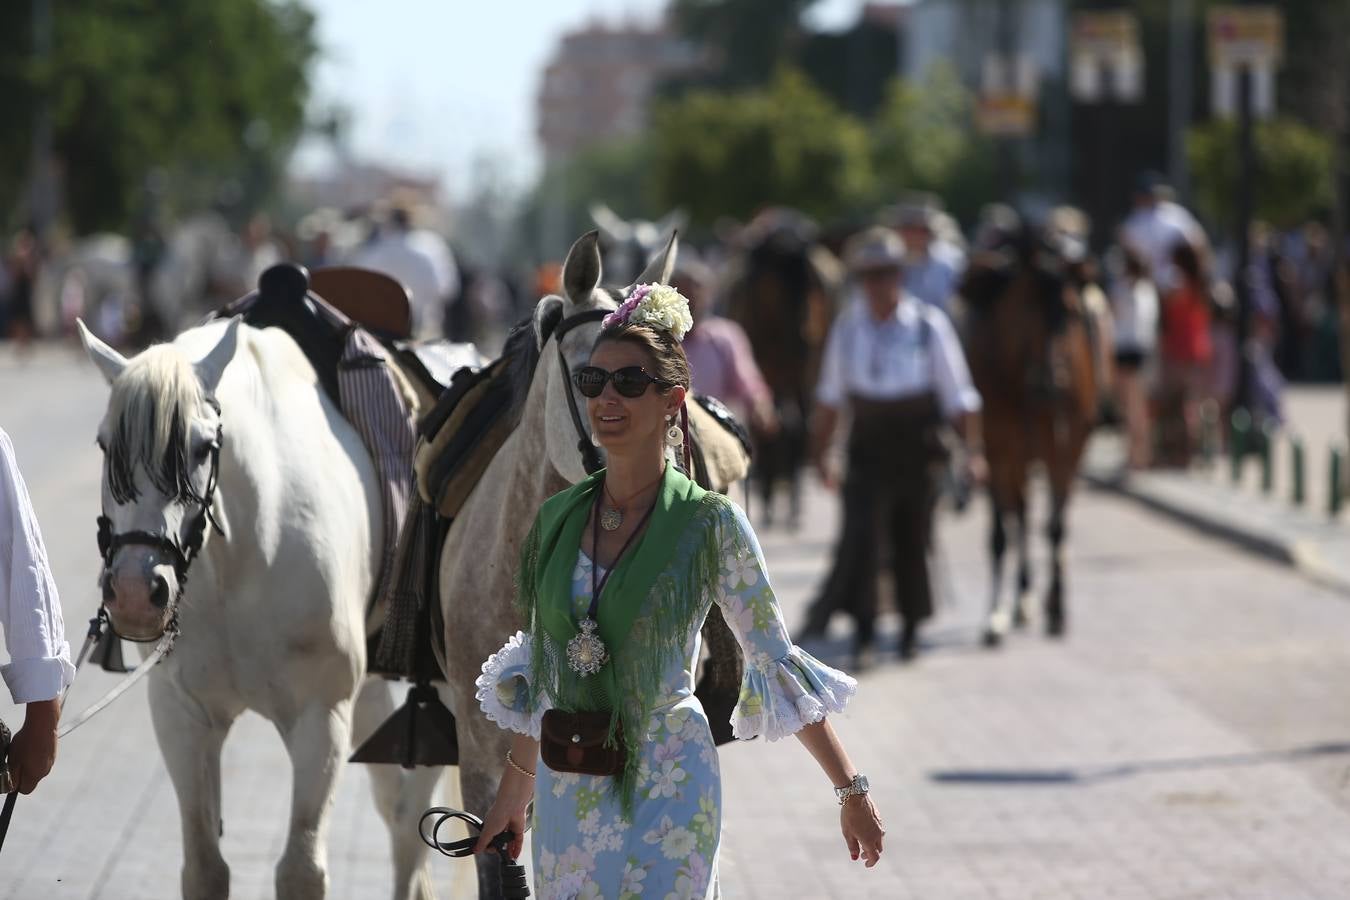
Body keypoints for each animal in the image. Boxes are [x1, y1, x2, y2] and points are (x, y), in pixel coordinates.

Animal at [78, 317, 442, 900]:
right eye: (105, 443)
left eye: (203, 447)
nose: (135, 590)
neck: (246, 553)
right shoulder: (182, 715)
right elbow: (205, 868)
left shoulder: (321, 717)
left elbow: (300, 869)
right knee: (397, 805)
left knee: (416, 809)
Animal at [955, 225, 1101, 647]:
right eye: (1025, 312)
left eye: (1071, 314)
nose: (1054, 385)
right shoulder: (996, 451)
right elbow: (1001, 533)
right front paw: (995, 614)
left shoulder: (1067, 449)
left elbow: (1055, 527)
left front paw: (1058, 608)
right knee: (1016, 516)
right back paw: (1019, 600)